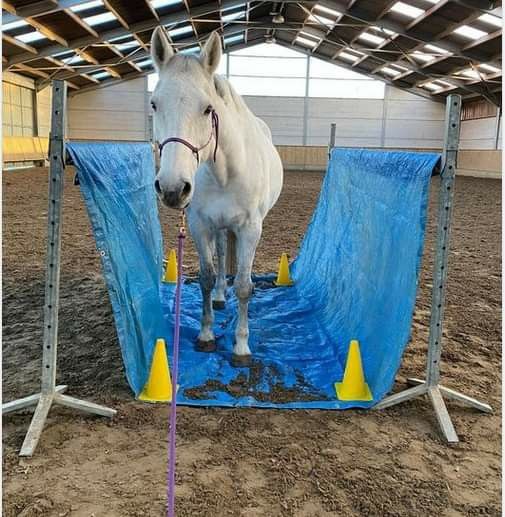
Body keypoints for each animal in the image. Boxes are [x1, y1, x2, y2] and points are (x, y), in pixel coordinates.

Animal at [150, 28, 284, 364]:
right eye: (155, 104)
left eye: (208, 109)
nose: (172, 188)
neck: (223, 172)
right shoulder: (200, 225)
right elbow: (207, 278)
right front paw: (207, 334)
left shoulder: (250, 229)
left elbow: (245, 286)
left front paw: (241, 347)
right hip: (219, 227)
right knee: (223, 255)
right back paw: (223, 297)